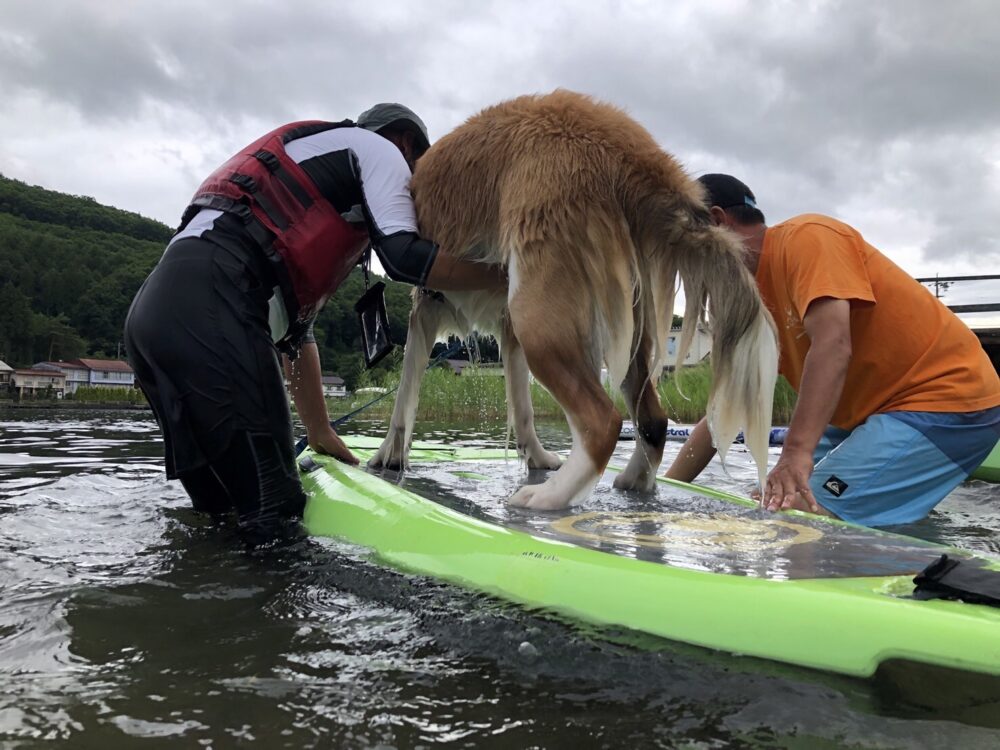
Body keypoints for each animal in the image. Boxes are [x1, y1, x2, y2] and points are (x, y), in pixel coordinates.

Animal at [370, 89, 780, 512]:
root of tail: (627, 148)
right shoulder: (507, 331)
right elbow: (523, 408)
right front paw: (537, 458)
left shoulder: (427, 310)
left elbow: (404, 396)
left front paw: (389, 456)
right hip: (620, 326)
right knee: (653, 420)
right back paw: (634, 481)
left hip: (537, 314)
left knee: (604, 421)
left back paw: (547, 496)